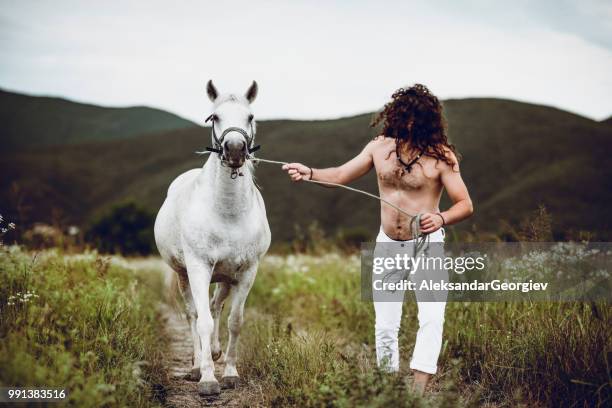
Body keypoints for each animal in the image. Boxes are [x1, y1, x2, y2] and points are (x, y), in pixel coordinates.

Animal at [153, 79, 270, 396]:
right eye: (215, 117)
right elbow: (203, 321)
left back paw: (215, 353)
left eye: (250, 117)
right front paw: (207, 379)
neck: (228, 213)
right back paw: (196, 366)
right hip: (184, 275)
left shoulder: (247, 272)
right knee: (194, 314)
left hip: (226, 277)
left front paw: (229, 373)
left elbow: (235, 321)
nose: (235, 149)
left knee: (217, 307)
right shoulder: (198, 267)